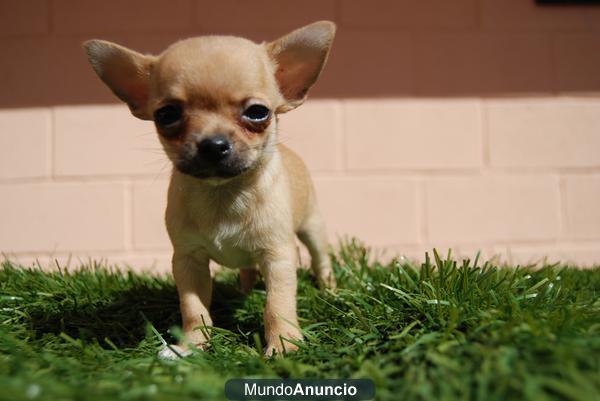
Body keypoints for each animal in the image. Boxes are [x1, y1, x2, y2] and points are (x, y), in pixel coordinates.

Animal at [84, 20, 338, 354]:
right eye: (166, 115)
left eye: (258, 112)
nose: (213, 144)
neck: (222, 194)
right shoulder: (188, 261)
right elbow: (194, 309)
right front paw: (190, 345)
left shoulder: (279, 257)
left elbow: (277, 305)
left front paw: (284, 345)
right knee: (247, 268)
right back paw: (244, 291)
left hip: (312, 226)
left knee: (321, 260)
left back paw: (330, 291)